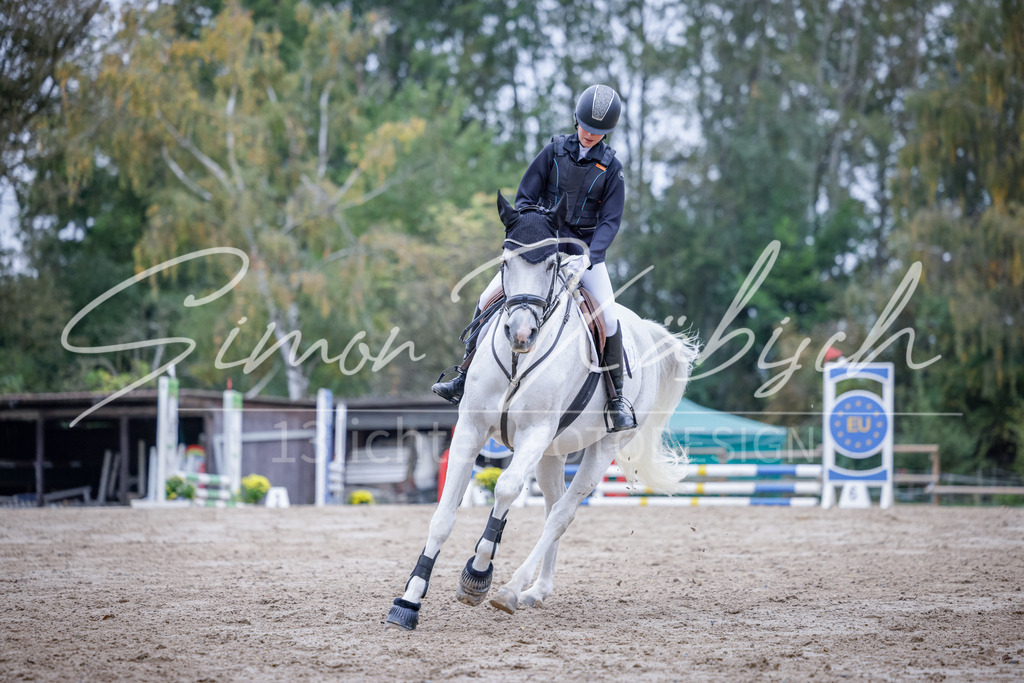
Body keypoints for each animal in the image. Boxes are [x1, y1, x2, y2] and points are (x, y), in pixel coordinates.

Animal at [386, 191, 700, 630]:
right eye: (505, 262)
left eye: (551, 264)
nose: (521, 335)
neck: (519, 360)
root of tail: (646, 331)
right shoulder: (471, 428)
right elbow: (443, 516)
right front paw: (409, 600)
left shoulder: (534, 434)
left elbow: (504, 489)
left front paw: (477, 575)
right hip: (552, 453)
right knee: (553, 505)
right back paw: (536, 590)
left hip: (599, 448)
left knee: (561, 515)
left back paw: (510, 590)